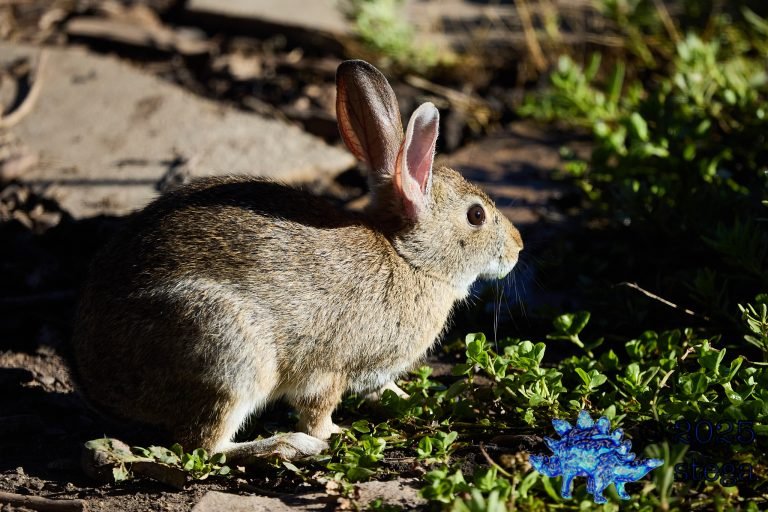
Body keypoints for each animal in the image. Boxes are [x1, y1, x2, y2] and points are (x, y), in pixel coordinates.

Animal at [72, 60, 523, 461]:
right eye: (476, 216)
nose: (518, 247)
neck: (408, 258)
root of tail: (98, 381)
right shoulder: (328, 368)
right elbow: (318, 409)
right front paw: (334, 434)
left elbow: (384, 390)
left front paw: (411, 398)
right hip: (227, 351)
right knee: (203, 444)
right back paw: (287, 445)